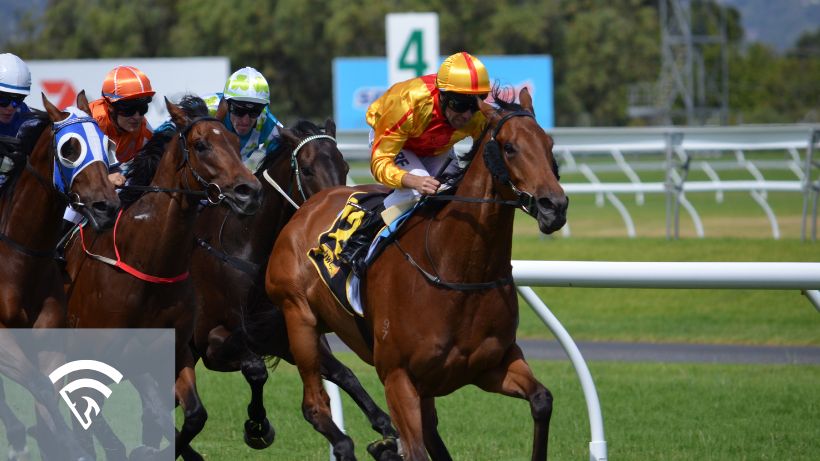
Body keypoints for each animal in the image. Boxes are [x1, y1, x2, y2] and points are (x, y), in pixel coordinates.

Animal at [0, 91, 120, 458]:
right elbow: (40, 386)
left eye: (108, 144)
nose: (106, 207)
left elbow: (49, 391)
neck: (20, 260)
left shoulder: (49, 340)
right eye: (69, 149)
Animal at [62, 95, 262, 458]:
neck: (149, 263)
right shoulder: (117, 355)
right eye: (201, 145)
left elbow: (193, 415)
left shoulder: (174, 351)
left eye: (235, 142)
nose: (249, 191)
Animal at [266, 87, 568, 460]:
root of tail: (308, 206)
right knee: (315, 406)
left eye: (549, 144)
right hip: (299, 319)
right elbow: (415, 448)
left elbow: (542, 400)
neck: (456, 272)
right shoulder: (398, 377)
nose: (554, 206)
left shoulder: (492, 365)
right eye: (510, 147)